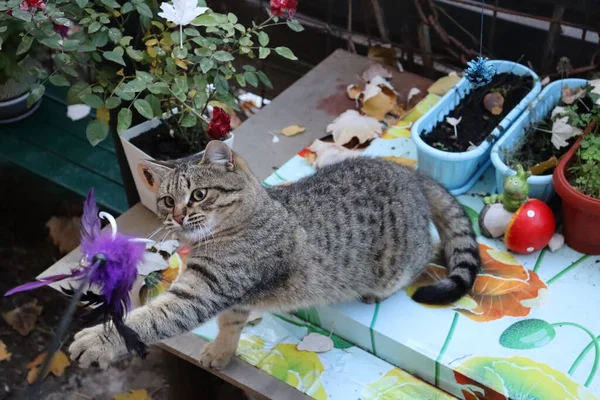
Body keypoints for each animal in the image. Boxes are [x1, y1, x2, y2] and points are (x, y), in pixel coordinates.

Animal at [70, 140, 480, 368]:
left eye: (199, 195)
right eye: (168, 200)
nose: (178, 216)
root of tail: (408, 174)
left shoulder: (205, 289)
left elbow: (148, 319)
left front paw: (98, 340)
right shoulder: (230, 295)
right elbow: (229, 323)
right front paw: (222, 350)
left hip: (402, 262)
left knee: (429, 254)